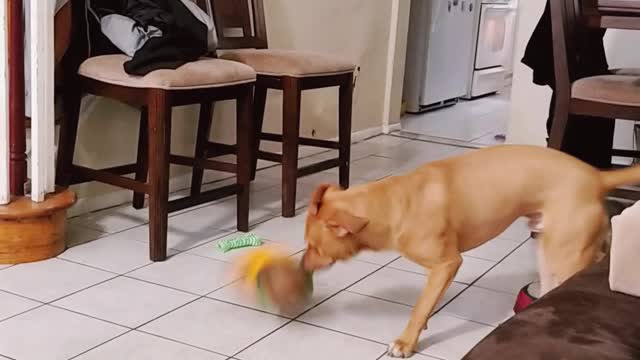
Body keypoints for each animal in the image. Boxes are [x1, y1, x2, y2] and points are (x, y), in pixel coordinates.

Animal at [300, 145, 640, 358]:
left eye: (313, 246)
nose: (302, 265)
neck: (393, 203)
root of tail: (596, 176)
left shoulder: (447, 264)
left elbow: (420, 307)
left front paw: (406, 342)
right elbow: (427, 303)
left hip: (568, 255)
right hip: (549, 253)